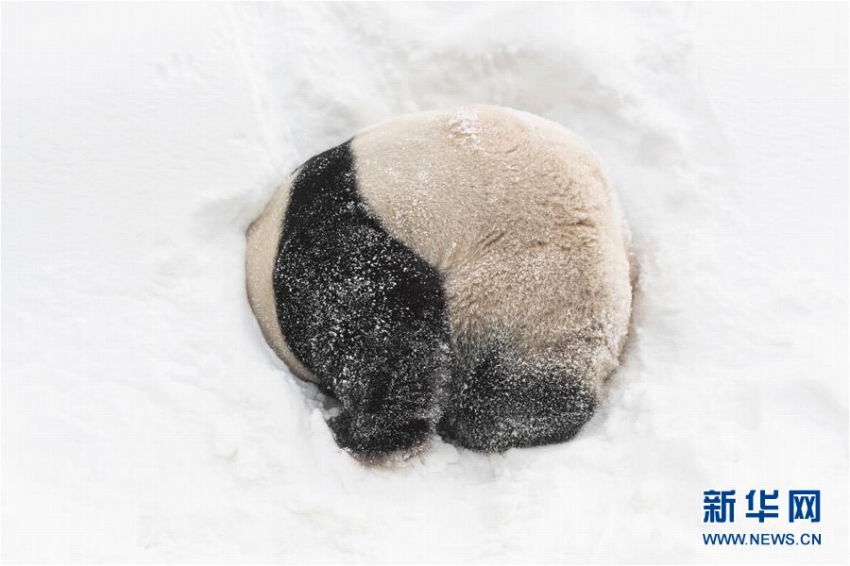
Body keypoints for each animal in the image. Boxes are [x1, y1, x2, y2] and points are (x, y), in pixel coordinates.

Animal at [243, 105, 628, 462]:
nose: (334, 399)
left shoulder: (326, 241)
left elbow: (381, 321)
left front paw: (366, 432)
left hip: (532, 286)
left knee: (513, 395)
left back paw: (483, 418)